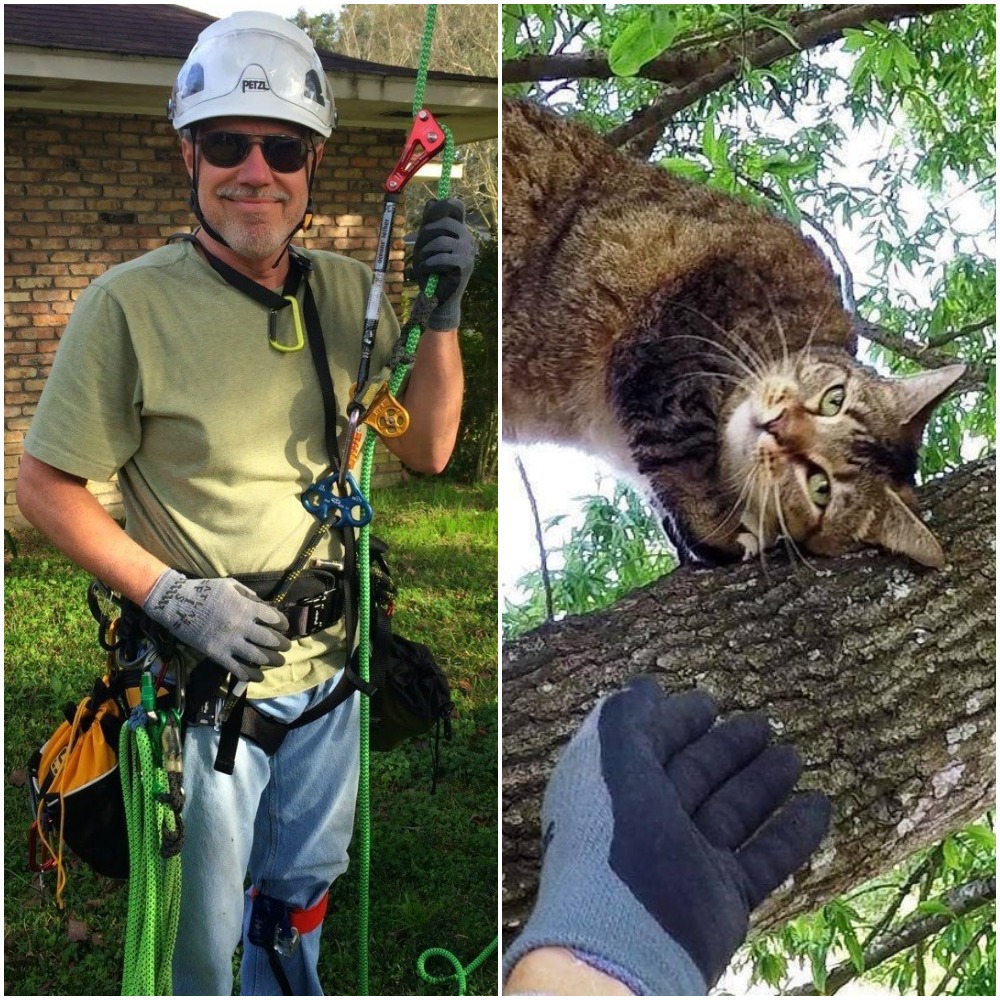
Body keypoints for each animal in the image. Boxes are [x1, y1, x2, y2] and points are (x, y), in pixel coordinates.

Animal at [504, 103, 964, 572]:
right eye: (834, 400)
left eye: (821, 487)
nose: (778, 427)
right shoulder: (673, 340)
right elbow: (679, 450)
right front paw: (718, 533)